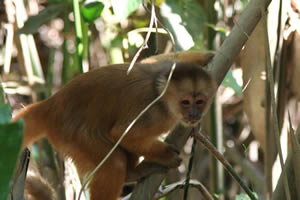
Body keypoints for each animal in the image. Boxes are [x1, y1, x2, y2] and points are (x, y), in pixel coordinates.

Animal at [14, 51, 217, 200]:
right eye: (186, 102)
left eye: (200, 102)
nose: (194, 114)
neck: (162, 95)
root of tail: (51, 105)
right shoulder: (156, 115)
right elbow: (122, 134)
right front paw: (165, 155)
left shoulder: (162, 69)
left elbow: (152, 60)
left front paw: (209, 55)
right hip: (71, 136)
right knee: (114, 163)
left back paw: (132, 173)